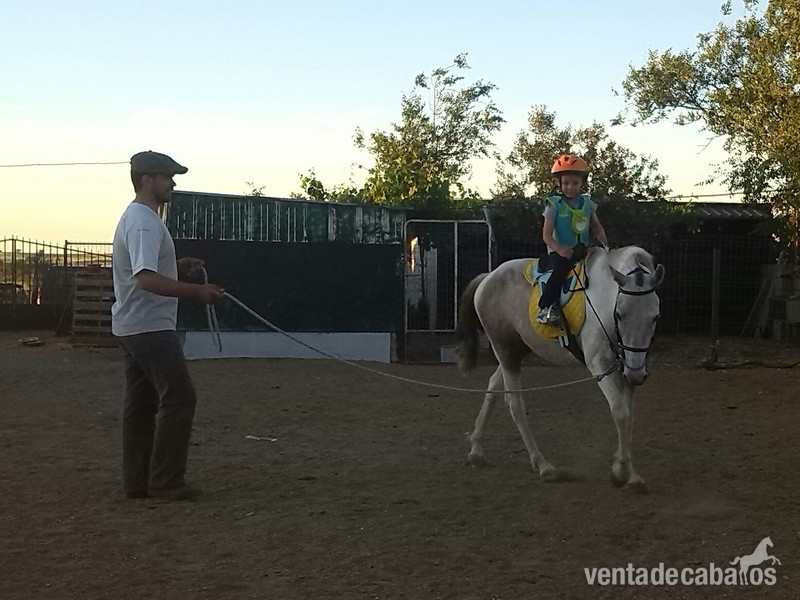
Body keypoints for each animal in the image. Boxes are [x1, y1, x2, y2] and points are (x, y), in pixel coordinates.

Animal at [455, 246, 664, 490]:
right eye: (620, 315)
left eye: (655, 317)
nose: (636, 373)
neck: (605, 302)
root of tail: (488, 276)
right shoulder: (599, 365)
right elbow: (620, 413)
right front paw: (620, 472)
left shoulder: (626, 368)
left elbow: (628, 416)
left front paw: (631, 475)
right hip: (504, 349)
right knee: (515, 404)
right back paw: (543, 465)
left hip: (517, 350)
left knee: (493, 388)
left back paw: (476, 450)